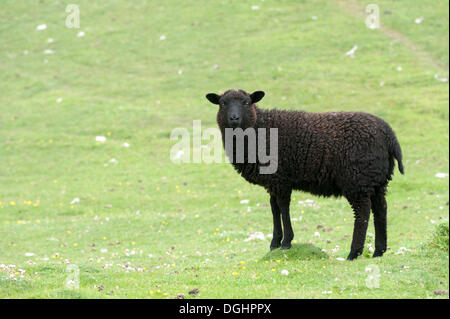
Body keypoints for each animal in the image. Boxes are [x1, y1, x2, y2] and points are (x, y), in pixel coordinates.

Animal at [206, 89, 406, 262]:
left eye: (246, 102)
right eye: (222, 103)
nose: (234, 118)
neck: (258, 129)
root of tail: (389, 135)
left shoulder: (281, 179)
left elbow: (283, 207)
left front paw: (286, 242)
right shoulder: (273, 182)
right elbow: (274, 208)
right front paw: (274, 243)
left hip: (357, 179)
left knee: (363, 212)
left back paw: (353, 253)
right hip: (377, 180)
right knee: (381, 209)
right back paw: (379, 251)